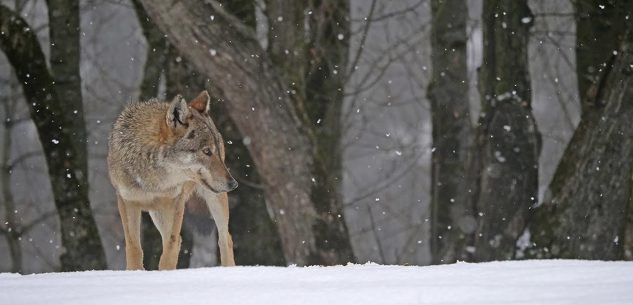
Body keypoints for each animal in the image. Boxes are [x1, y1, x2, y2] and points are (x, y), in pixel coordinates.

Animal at [107, 90, 238, 268]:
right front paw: (135, 271)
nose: (233, 184)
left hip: (214, 199)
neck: (154, 180)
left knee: (225, 239)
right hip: (157, 213)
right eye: (206, 151)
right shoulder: (126, 201)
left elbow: (170, 248)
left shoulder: (176, 202)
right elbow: (134, 248)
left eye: (216, 150)